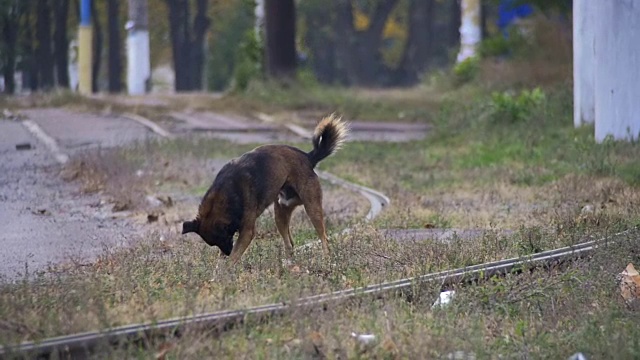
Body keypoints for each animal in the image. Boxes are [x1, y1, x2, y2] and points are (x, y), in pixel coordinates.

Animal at [180, 116, 350, 264]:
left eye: (226, 238)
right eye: (216, 243)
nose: (227, 252)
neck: (225, 194)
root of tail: (308, 157)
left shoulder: (247, 232)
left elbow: (233, 258)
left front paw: (224, 272)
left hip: (312, 208)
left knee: (324, 238)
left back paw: (326, 260)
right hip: (281, 212)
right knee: (290, 243)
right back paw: (289, 264)